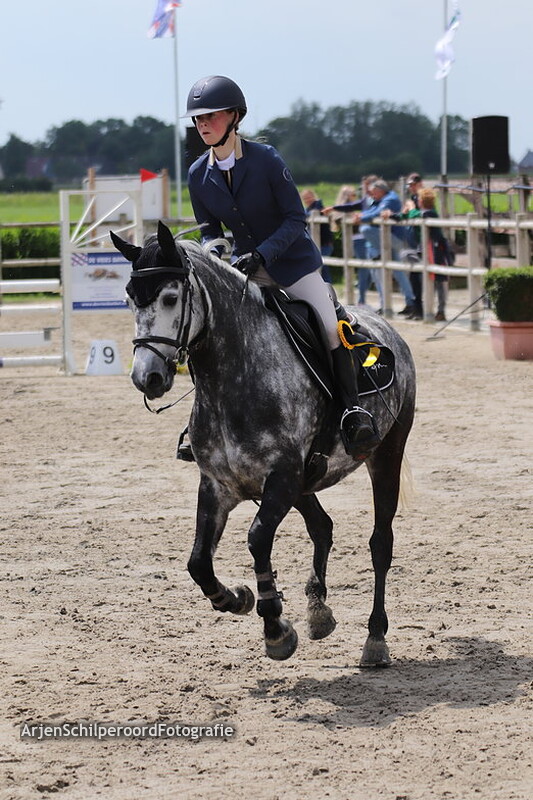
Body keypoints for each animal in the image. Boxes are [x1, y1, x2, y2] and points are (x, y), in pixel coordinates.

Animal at [111, 221, 416, 666]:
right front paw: (236, 598)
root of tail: (385, 326)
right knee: (322, 526)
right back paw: (318, 611)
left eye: (170, 298)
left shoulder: (282, 479)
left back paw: (375, 639)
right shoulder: (219, 485)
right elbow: (198, 562)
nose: (146, 377)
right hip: (308, 479)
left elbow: (257, 539)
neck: (232, 378)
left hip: (386, 454)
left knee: (381, 543)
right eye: (130, 299)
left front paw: (275, 627)